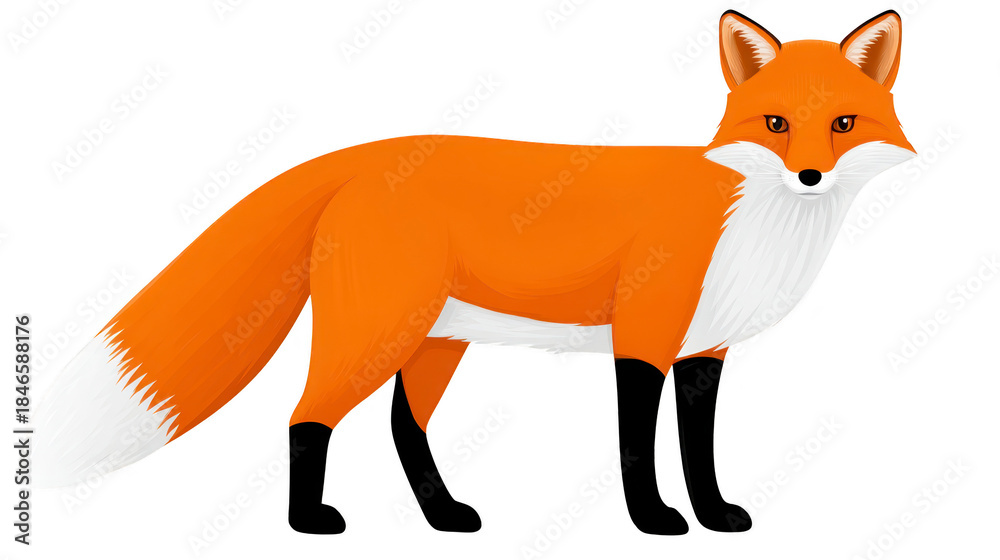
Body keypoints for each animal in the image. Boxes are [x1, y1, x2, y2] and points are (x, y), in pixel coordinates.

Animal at [35, 10, 915, 535]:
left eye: (843, 123)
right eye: (776, 123)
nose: (809, 175)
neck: (750, 217)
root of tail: (366, 155)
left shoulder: (705, 350)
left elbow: (699, 449)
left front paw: (715, 515)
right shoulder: (644, 335)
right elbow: (638, 444)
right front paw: (654, 521)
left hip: (435, 339)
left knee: (403, 427)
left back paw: (443, 517)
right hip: (380, 330)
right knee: (305, 418)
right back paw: (309, 523)